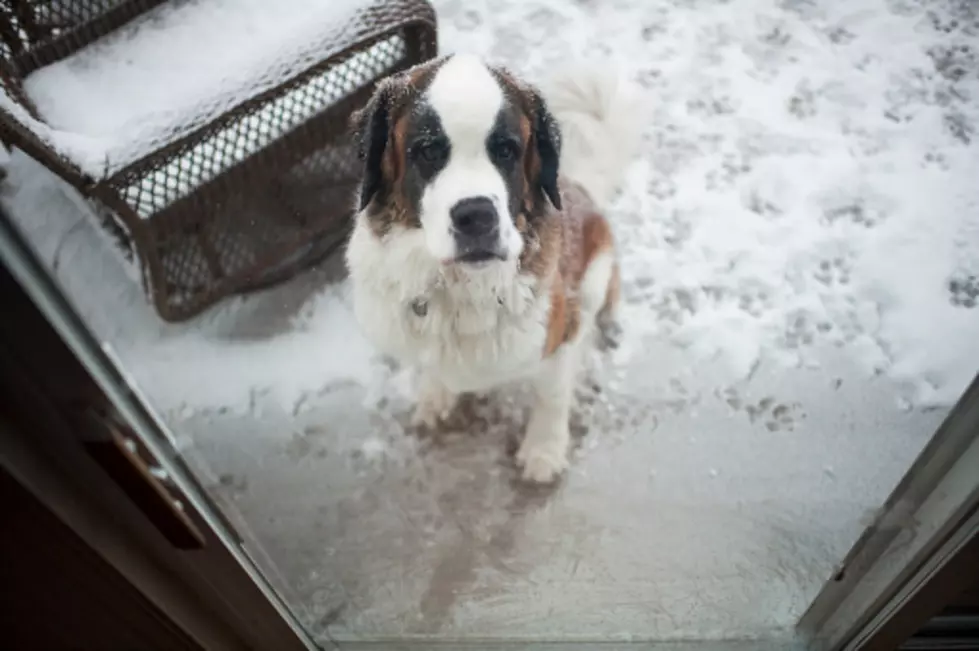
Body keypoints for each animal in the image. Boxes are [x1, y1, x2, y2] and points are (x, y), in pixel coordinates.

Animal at [348, 54, 640, 484]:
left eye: (506, 150)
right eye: (428, 151)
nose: (476, 215)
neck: (457, 286)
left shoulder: (558, 334)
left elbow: (552, 395)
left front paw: (543, 450)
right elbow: (433, 366)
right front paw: (436, 395)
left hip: (596, 269)